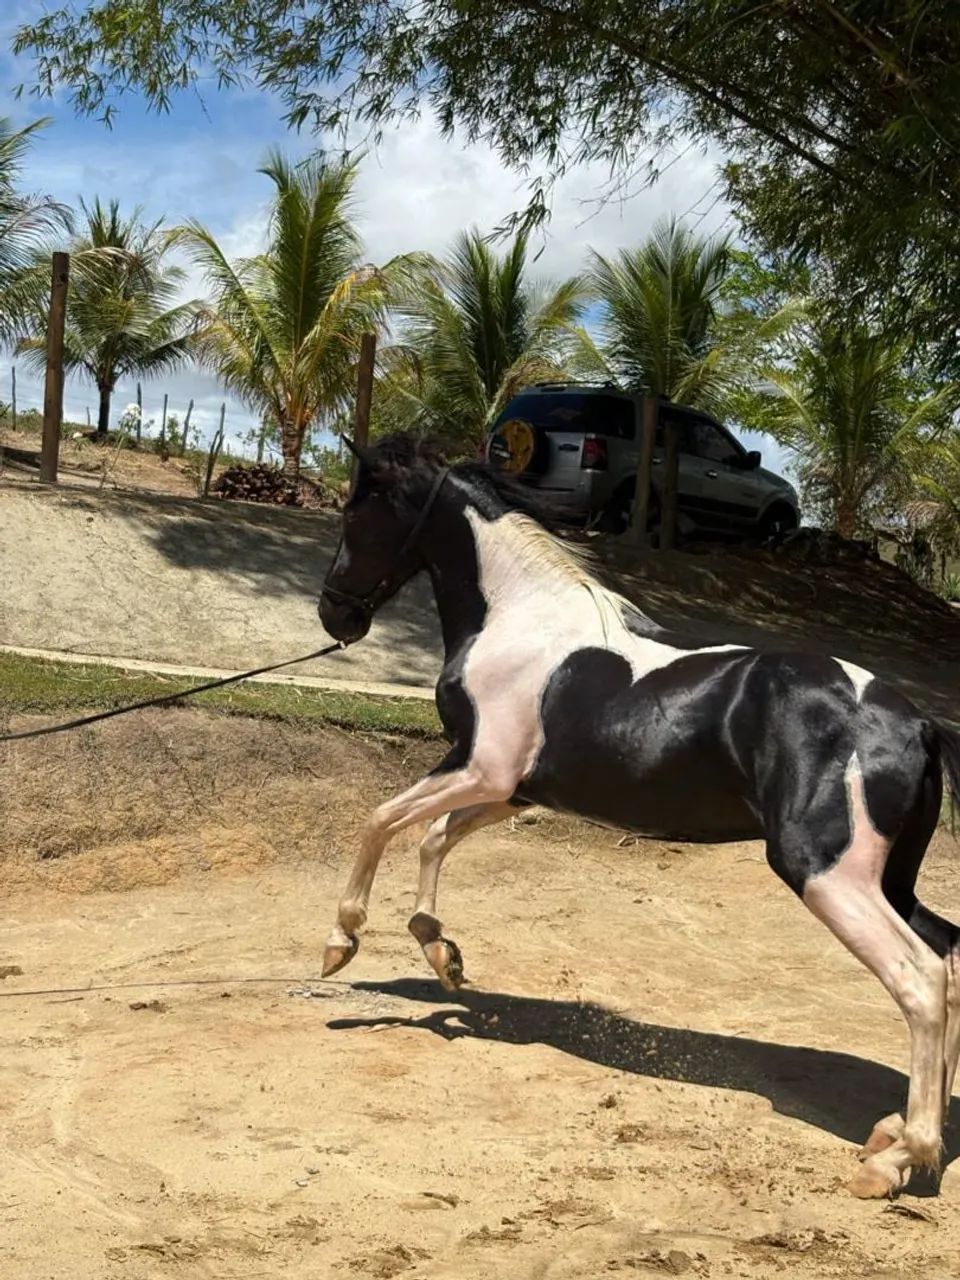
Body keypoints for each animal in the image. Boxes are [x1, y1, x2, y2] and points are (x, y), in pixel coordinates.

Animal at [318, 432, 960, 1199]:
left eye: (358, 513)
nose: (335, 616)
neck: (521, 621)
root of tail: (916, 723)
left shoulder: (481, 768)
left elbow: (381, 819)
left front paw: (342, 941)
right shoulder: (510, 788)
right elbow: (433, 839)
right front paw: (442, 954)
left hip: (828, 874)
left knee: (920, 979)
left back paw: (898, 1159)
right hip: (891, 881)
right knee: (950, 956)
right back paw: (902, 1134)